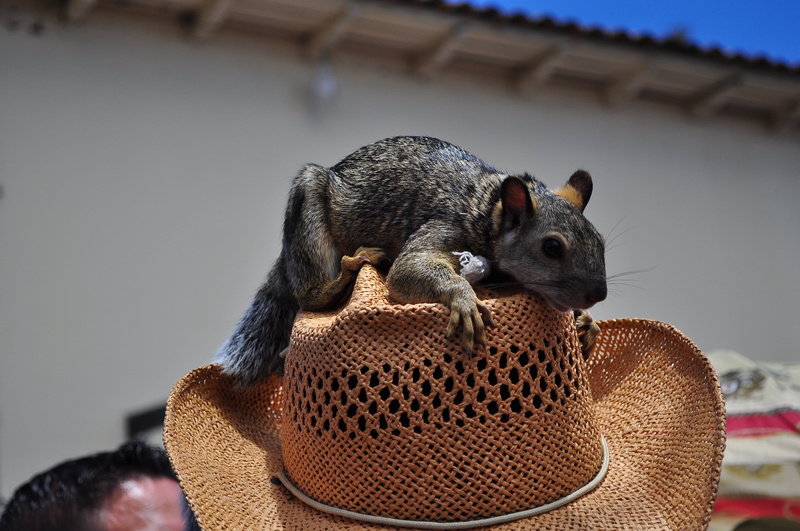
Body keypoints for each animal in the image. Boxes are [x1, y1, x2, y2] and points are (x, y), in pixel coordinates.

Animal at [215, 136, 607, 386]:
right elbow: (407, 268)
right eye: (552, 247)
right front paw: (464, 299)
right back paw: (343, 274)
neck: (487, 209)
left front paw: (586, 322)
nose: (597, 295)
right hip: (309, 209)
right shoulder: (445, 223)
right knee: (311, 295)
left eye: (601, 241)